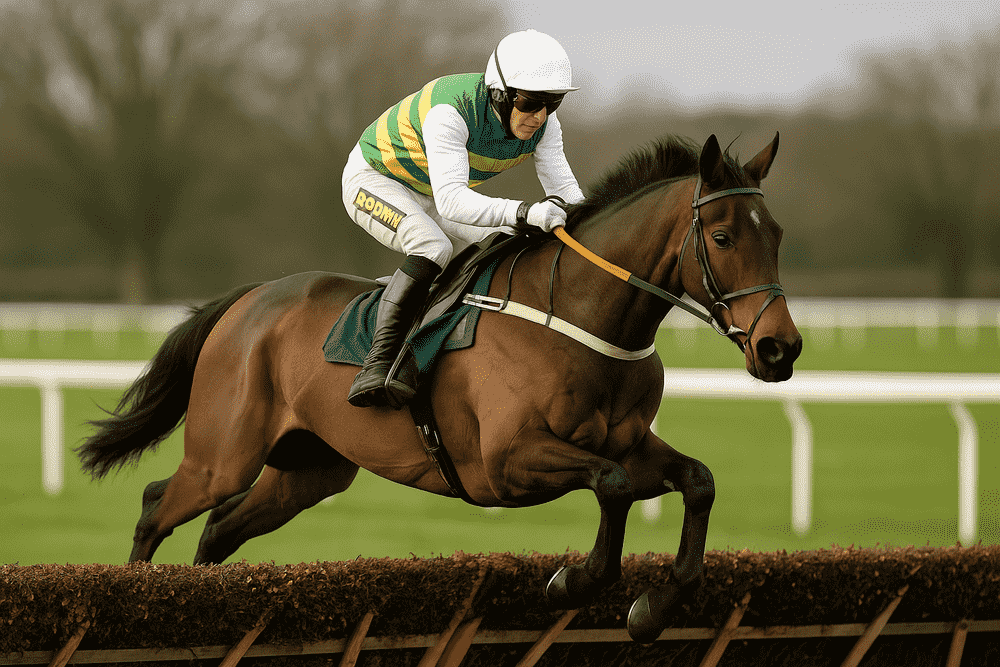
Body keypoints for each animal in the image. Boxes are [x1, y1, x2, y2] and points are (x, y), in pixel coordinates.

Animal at [77, 132, 801, 643]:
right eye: (722, 235)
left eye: (777, 236)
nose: (781, 348)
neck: (579, 317)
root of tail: (249, 299)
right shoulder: (508, 461)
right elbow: (613, 486)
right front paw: (573, 580)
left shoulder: (626, 442)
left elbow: (697, 480)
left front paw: (652, 607)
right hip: (223, 454)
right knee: (156, 505)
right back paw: (129, 597)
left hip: (307, 470)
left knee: (218, 532)